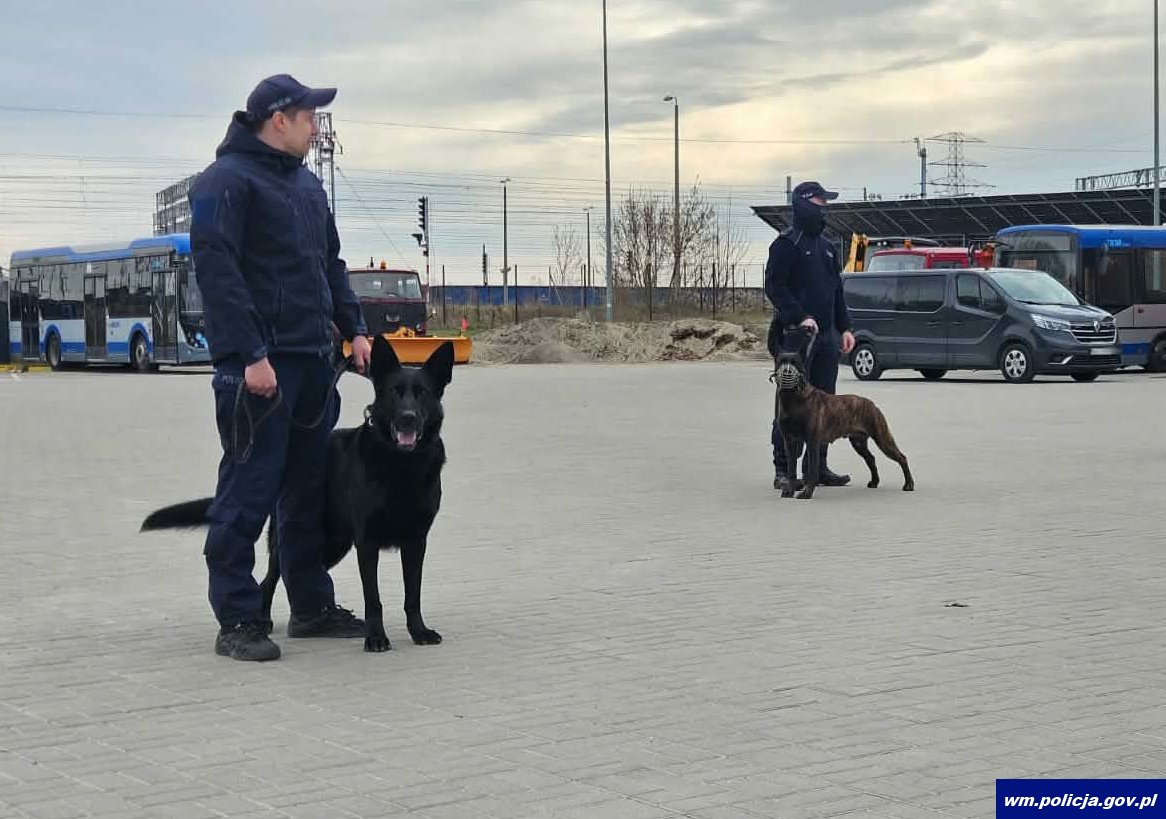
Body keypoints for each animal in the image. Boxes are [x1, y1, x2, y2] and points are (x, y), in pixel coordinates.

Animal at [141, 335, 454, 652]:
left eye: (422, 394)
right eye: (394, 393)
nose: (407, 419)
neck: (402, 463)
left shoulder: (417, 541)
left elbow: (413, 595)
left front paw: (419, 631)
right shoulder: (367, 543)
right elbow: (373, 599)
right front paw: (376, 637)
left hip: (332, 543)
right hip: (304, 541)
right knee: (268, 580)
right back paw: (259, 623)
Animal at [773, 328, 913, 500]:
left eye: (795, 363)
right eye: (781, 362)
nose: (787, 370)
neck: (793, 397)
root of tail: (872, 404)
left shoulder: (812, 442)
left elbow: (812, 470)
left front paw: (807, 492)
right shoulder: (790, 442)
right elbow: (791, 469)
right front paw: (789, 490)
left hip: (882, 438)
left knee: (901, 457)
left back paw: (909, 484)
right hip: (859, 442)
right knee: (871, 459)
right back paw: (874, 482)